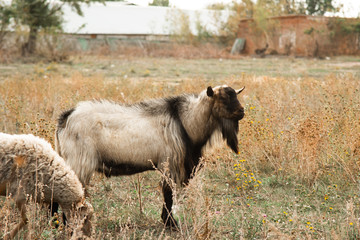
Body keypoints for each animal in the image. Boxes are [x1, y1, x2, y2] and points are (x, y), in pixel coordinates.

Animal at [55, 85, 245, 228]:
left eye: (236, 95)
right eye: (223, 99)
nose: (242, 111)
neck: (186, 122)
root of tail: (66, 118)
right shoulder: (170, 164)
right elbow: (168, 194)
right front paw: (170, 224)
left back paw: (56, 223)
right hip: (79, 162)